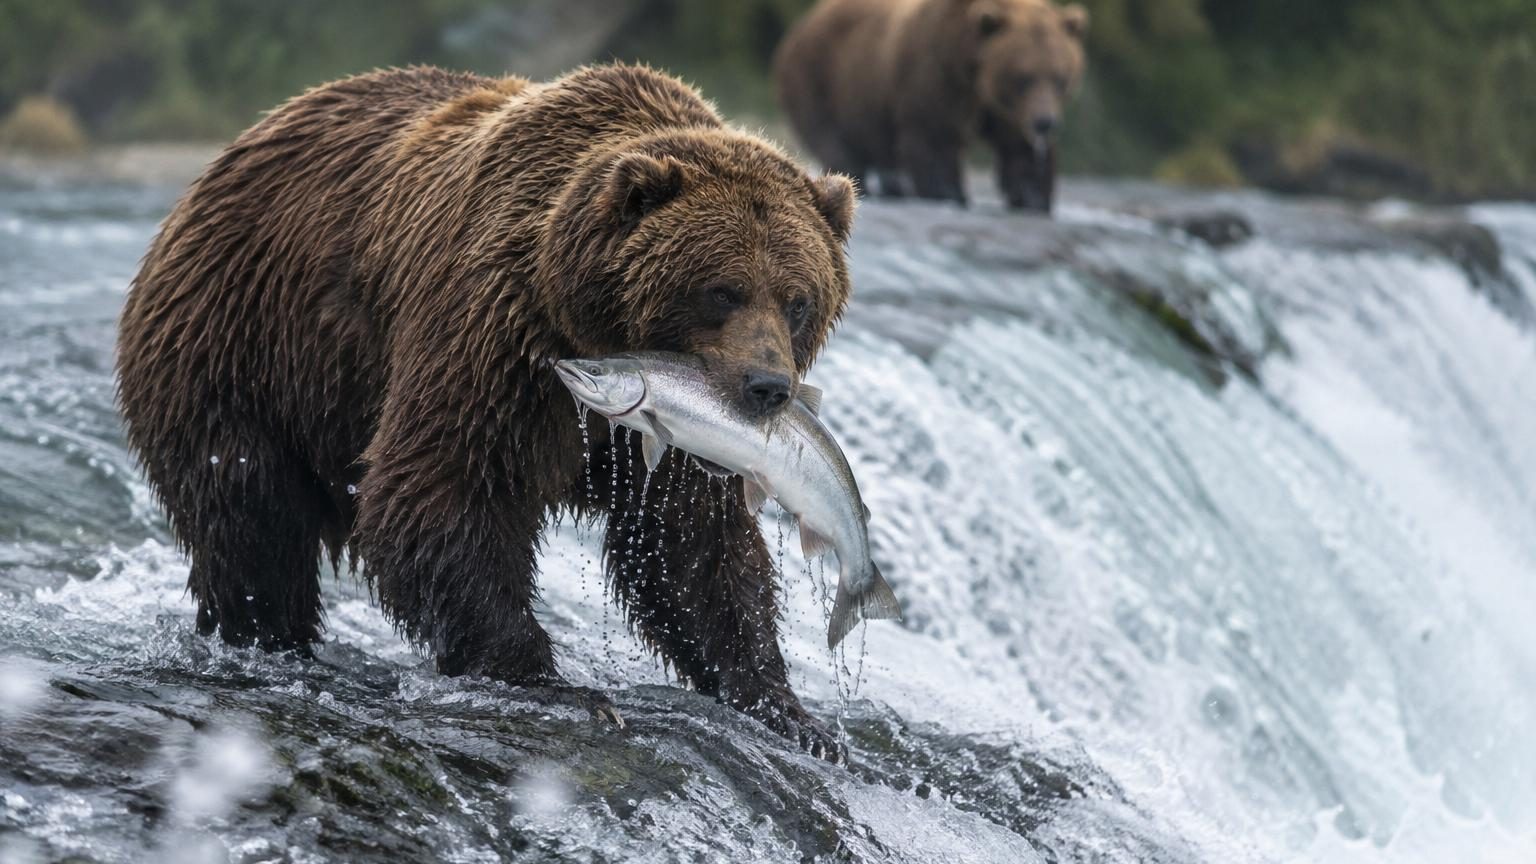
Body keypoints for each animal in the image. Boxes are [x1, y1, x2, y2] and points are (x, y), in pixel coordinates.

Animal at [115, 64, 857, 760]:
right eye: (722, 291)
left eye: (797, 299)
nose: (767, 386)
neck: (587, 317)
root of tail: (226, 158)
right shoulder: (496, 333)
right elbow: (442, 486)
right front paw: (559, 685)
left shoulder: (677, 436)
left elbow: (691, 543)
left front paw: (788, 710)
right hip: (243, 346)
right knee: (252, 515)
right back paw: (267, 638)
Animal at [775, 0, 1088, 212]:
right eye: (1023, 77)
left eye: (1060, 77)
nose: (1045, 122)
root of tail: (802, 25)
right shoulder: (936, 73)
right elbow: (934, 133)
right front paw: (948, 192)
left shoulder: (1004, 107)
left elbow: (1018, 147)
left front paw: (1033, 197)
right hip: (820, 77)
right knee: (833, 137)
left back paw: (894, 188)